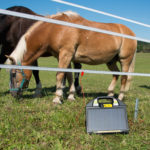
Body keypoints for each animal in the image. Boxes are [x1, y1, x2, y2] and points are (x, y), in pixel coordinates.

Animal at [6, 11, 137, 103]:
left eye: (14, 74)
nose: (13, 94)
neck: (55, 29)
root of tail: (131, 32)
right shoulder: (64, 57)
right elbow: (69, 76)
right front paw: (70, 96)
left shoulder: (65, 54)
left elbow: (59, 75)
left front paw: (57, 98)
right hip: (111, 61)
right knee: (116, 74)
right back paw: (110, 94)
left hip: (125, 60)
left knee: (124, 77)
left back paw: (120, 97)